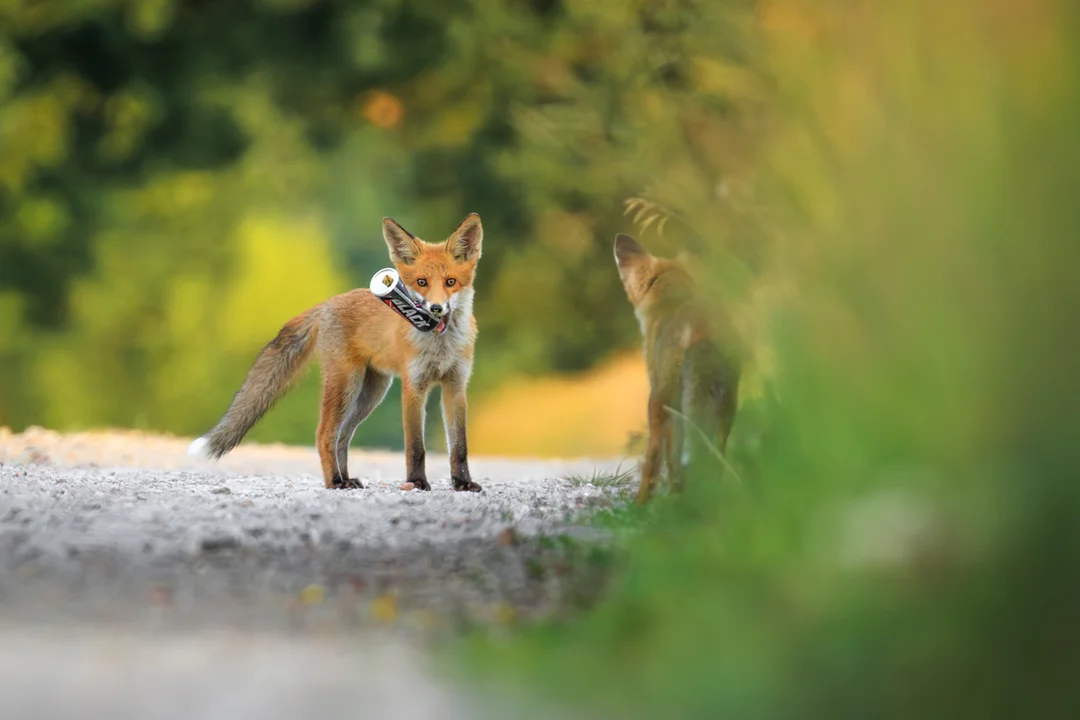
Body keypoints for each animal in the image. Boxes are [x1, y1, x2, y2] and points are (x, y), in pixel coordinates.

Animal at [189, 213, 486, 496]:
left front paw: (463, 483)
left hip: (371, 393)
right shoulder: (414, 386)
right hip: (347, 384)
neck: (441, 345)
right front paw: (416, 482)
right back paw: (334, 481)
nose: (436, 308)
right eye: (421, 282)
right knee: (325, 434)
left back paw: (345, 477)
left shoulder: (456, 386)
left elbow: (459, 447)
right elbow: (415, 446)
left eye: (450, 282)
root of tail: (327, 303)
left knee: (342, 436)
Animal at [617, 234, 743, 505]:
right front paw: (680, 490)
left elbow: (665, 456)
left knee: (655, 459)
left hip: (659, 401)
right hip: (727, 404)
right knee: (716, 451)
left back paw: (645, 502)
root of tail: (702, 326)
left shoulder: (664, 402)